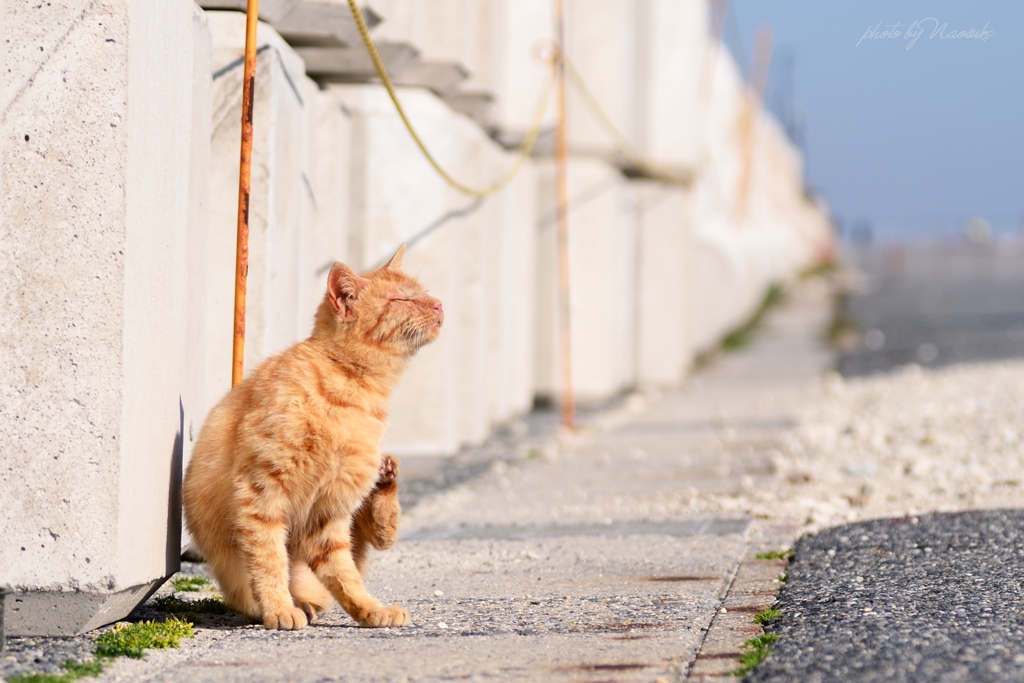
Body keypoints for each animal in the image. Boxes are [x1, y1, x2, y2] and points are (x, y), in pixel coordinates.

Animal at [184, 245, 440, 630]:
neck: (355, 390)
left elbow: (344, 573)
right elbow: (269, 560)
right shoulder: (262, 491)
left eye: (423, 294)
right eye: (401, 299)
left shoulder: (329, 511)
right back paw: (293, 605)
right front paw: (278, 608)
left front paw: (368, 609)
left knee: (382, 534)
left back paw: (386, 482)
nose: (439, 304)